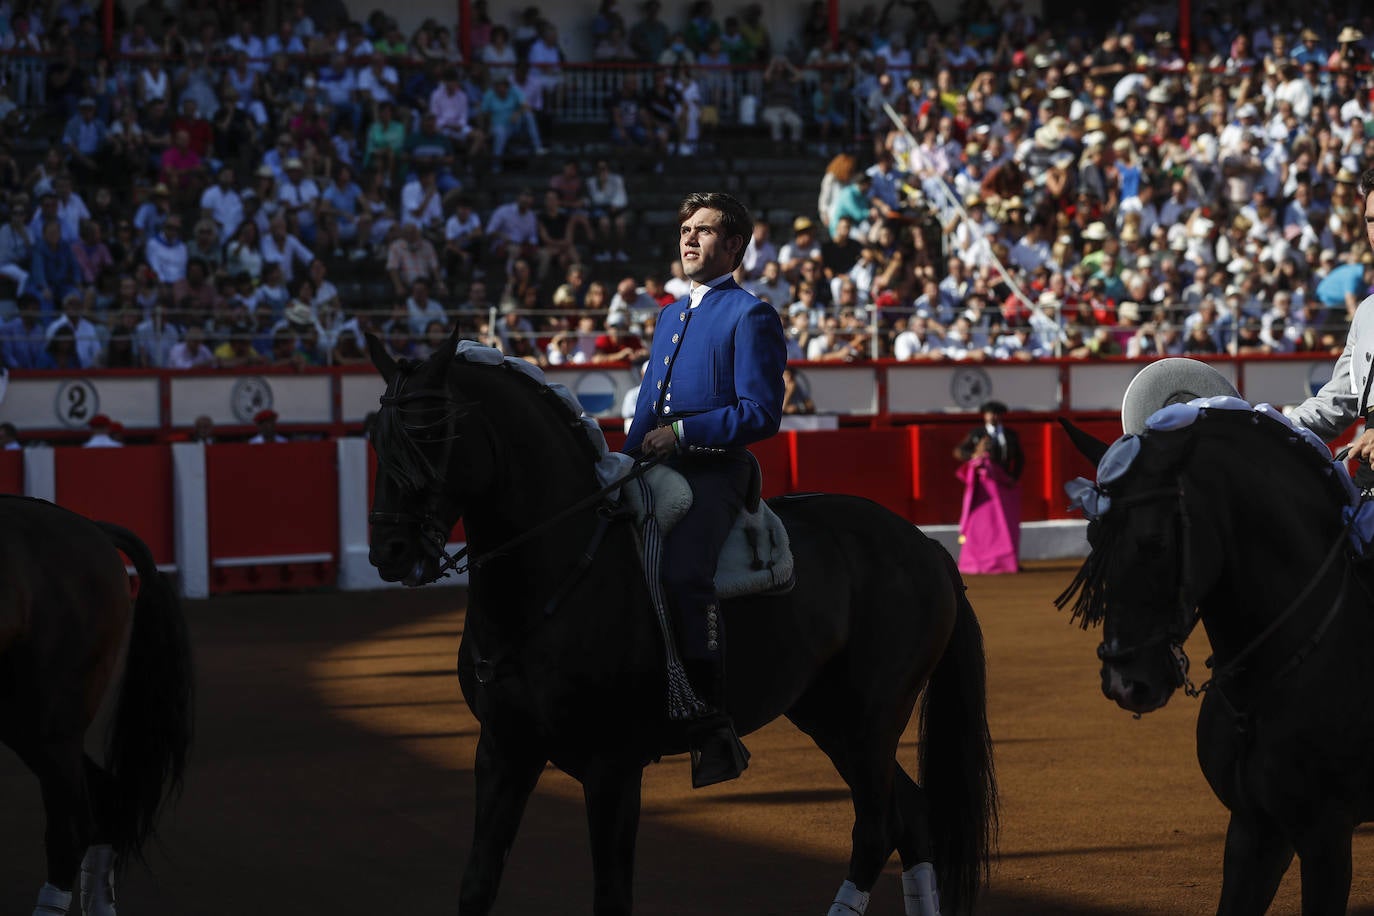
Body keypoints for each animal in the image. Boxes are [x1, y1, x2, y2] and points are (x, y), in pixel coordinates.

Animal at [359, 335, 994, 916]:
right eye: (377, 438)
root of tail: (924, 546)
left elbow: (612, 896)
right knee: (911, 818)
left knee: (877, 827)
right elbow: (476, 886)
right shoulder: (502, 751)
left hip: (872, 717)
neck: (560, 571)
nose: (390, 551)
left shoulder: (612, 767)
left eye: (431, 434)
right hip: (828, 714)